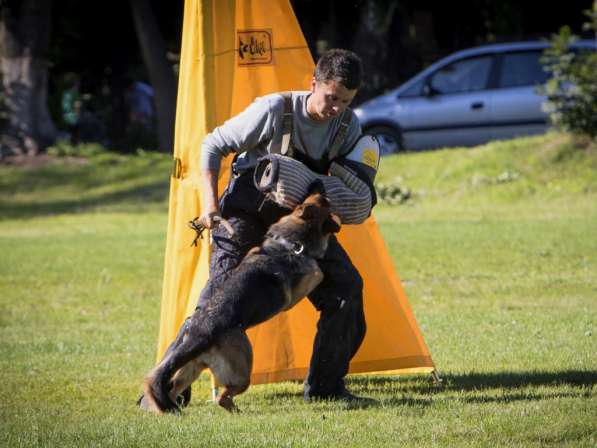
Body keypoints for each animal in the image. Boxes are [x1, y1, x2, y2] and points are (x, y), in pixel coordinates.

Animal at [141, 184, 340, 414]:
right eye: (323, 200)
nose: (318, 182)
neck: (290, 242)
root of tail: (198, 335)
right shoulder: (307, 278)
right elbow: (319, 270)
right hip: (242, 369)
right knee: (223, 397)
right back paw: (236, 411)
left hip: (190, 368)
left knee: (172, 388)